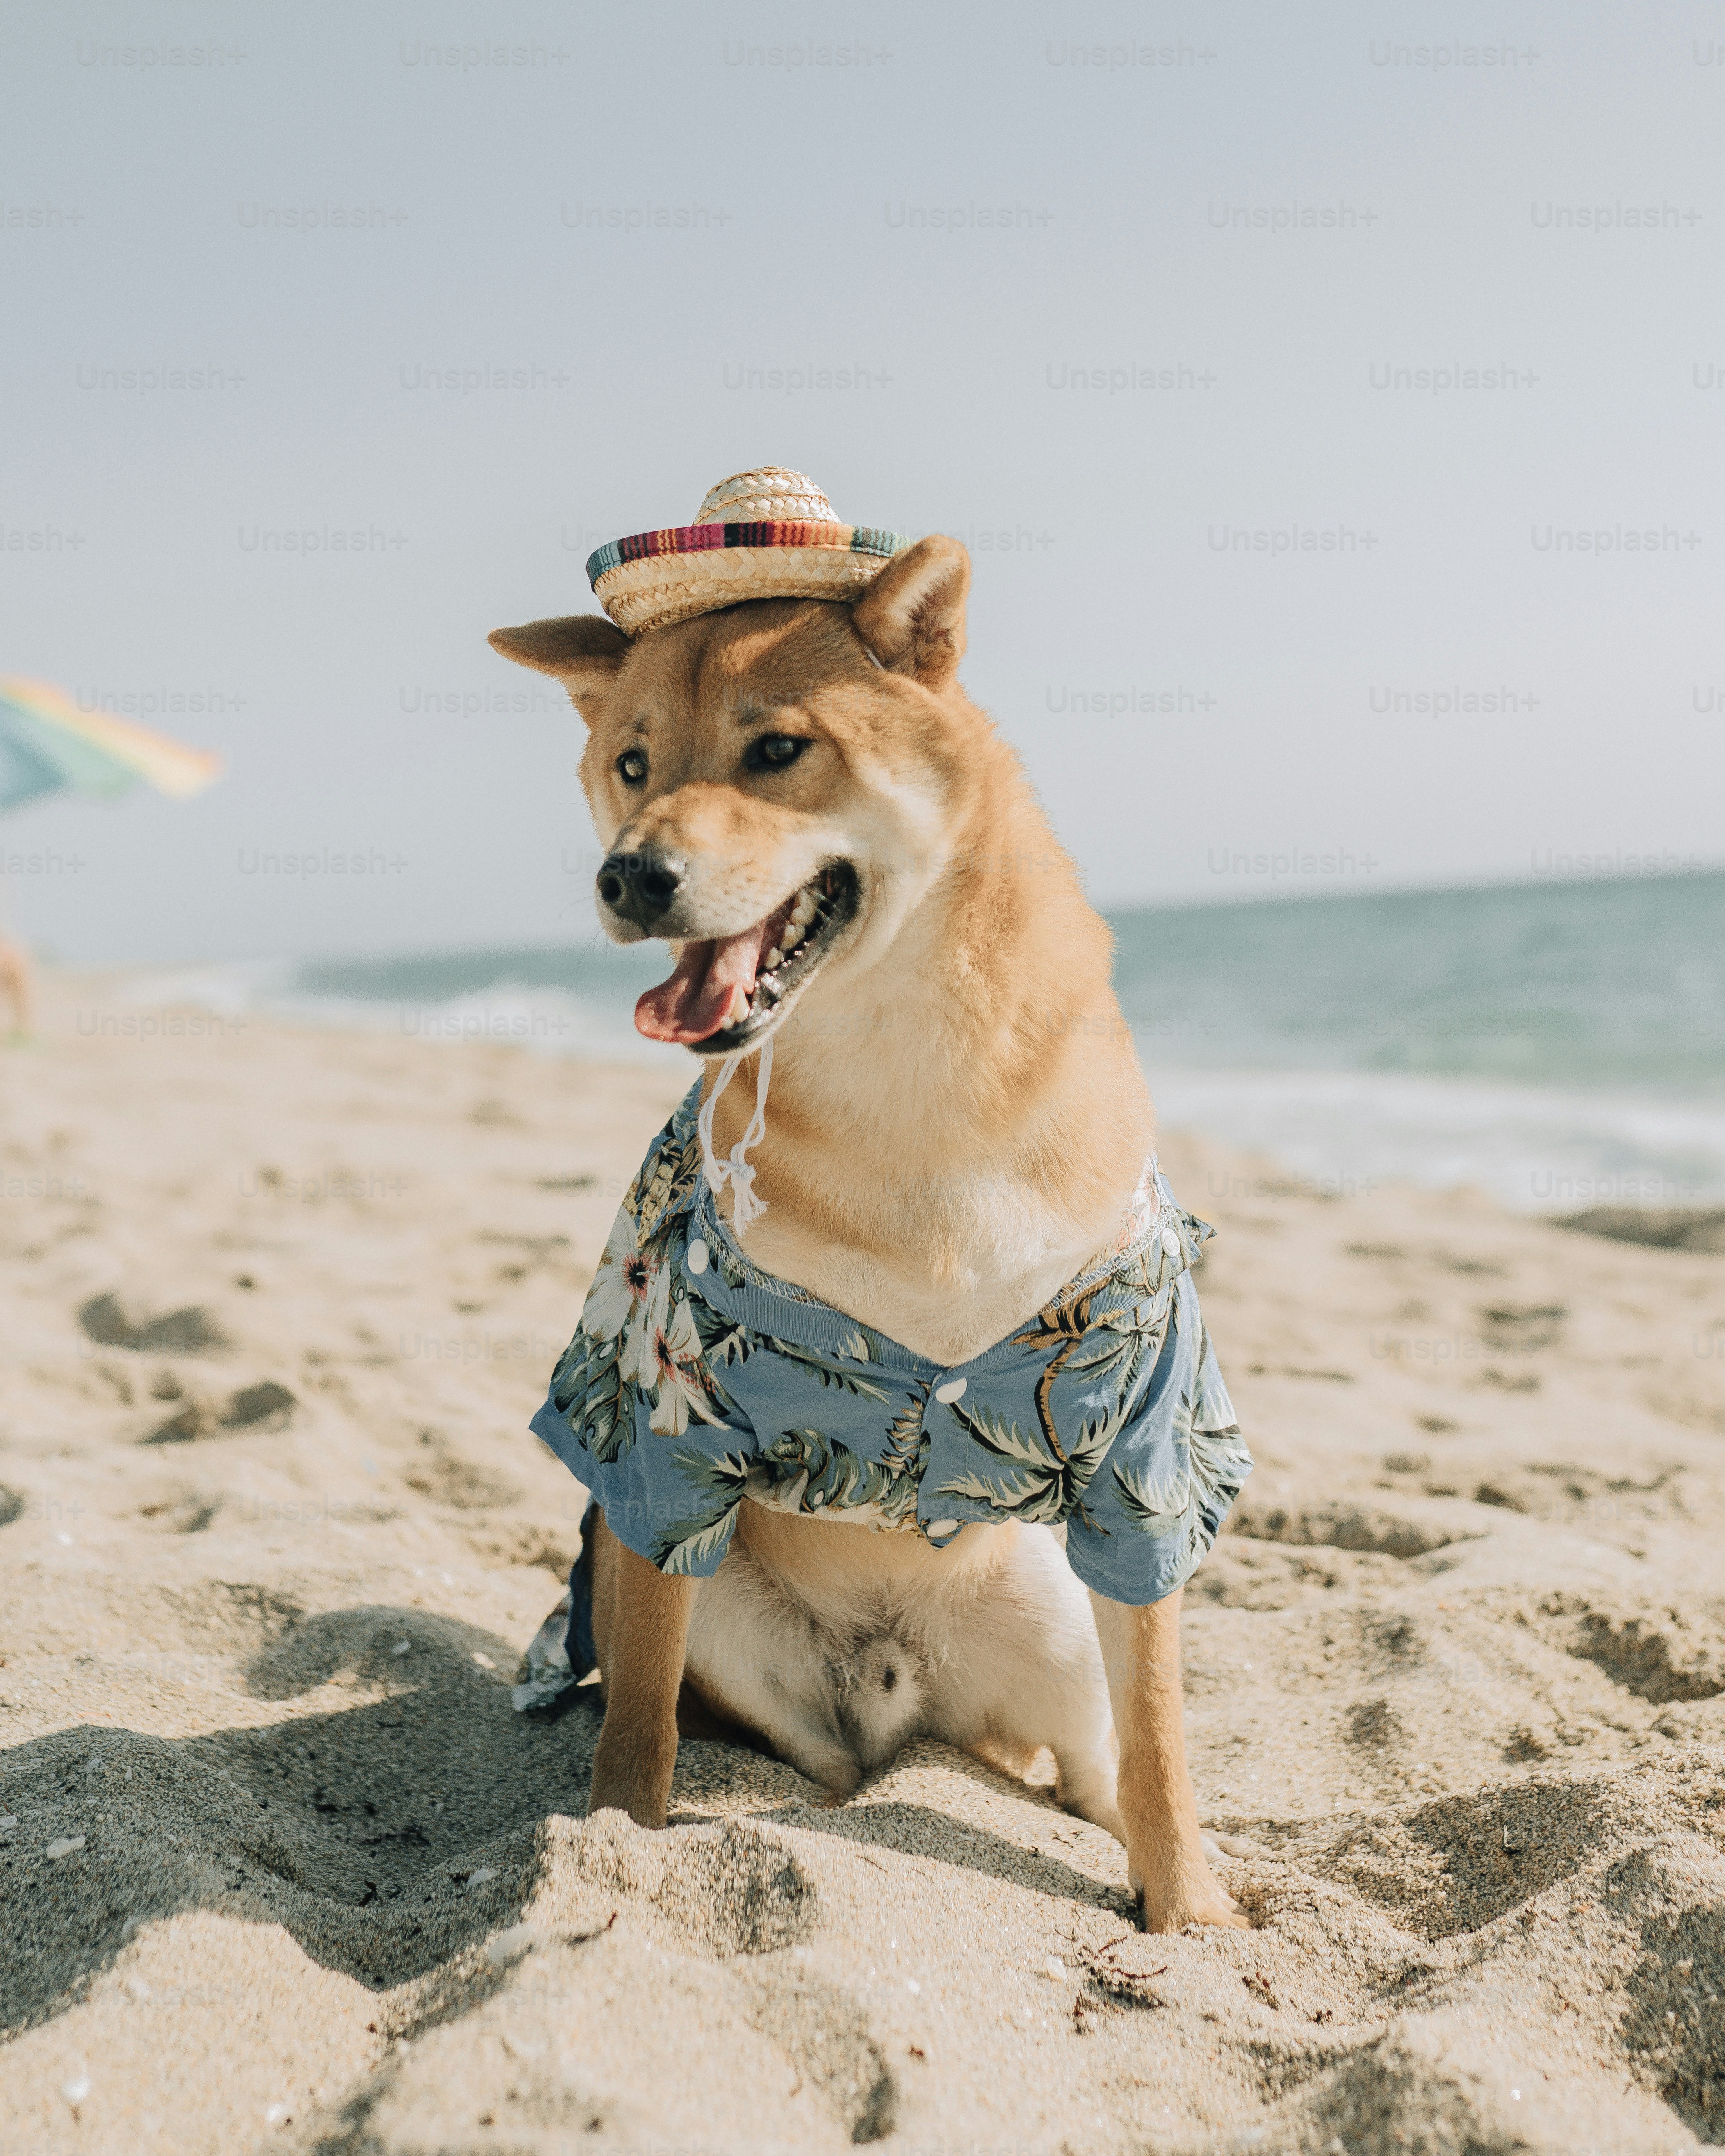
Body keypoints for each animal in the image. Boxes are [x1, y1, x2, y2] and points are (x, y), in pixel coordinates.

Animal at [492, 526, 1251, 1940]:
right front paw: (608, 1853)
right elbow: (634, 1727)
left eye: (777, 749)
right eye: (632, 764)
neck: (910, 1082)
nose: (629, 874)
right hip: (696, 1598)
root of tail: (906, 1686)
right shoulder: (659, 1435)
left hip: (1054, 1620)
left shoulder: (1141, 1438)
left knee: (1086, 1761)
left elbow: (1162, 1736)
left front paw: (1190, 1915)